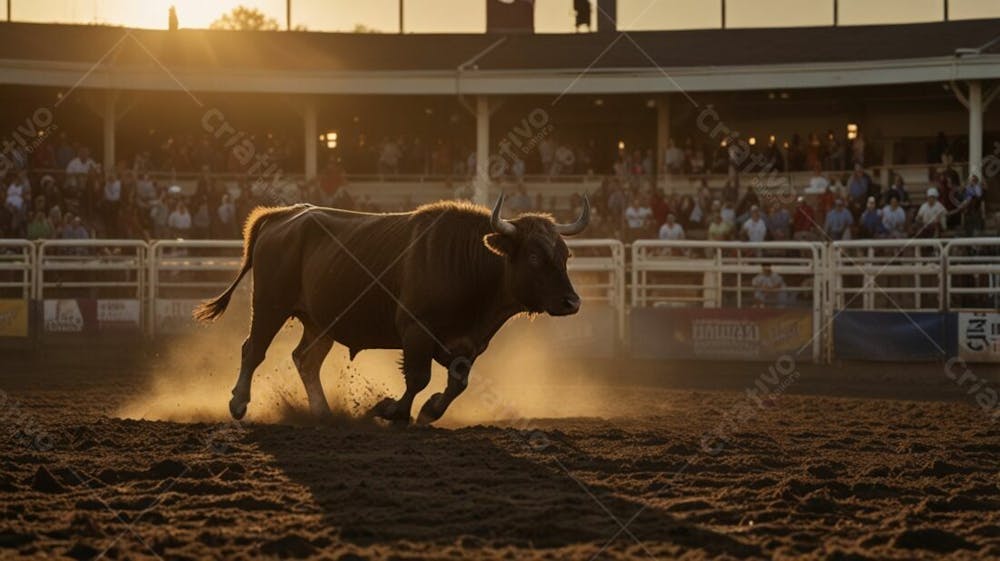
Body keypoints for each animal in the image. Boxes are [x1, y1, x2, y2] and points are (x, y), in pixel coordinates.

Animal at [191, 195, 588, 422]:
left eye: (565, 254)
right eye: (534, 255)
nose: (572, 302)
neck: (467, 263)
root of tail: (283, 215)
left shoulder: (469, 344)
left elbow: (458, 383)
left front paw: (430, 410)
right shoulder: (414, 331)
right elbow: (418, 378)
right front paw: (392, 410)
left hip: (320, 322)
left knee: (305, 359)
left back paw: (322, 413)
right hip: (270, 305)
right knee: (253, 350)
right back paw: (238, 403)